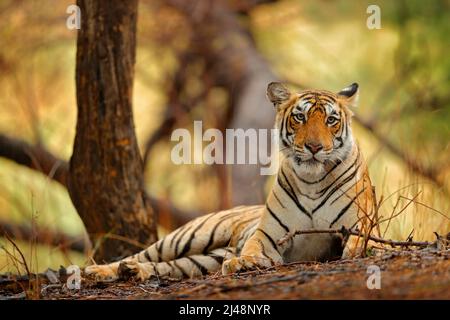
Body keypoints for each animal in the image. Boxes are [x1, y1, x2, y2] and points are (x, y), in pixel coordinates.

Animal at [84, 81, 376, 282]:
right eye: (300, 117)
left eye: (331, 120)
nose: (314, 147)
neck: (311, 181)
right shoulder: (269, 235)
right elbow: (253, 248)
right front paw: (243, 262)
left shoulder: (361, 225)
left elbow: (363, 242)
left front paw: (358, 252)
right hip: (186, 237)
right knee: (142, 255)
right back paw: (98, 271)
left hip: (202, 260)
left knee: (166, 267)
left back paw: (132, 272)